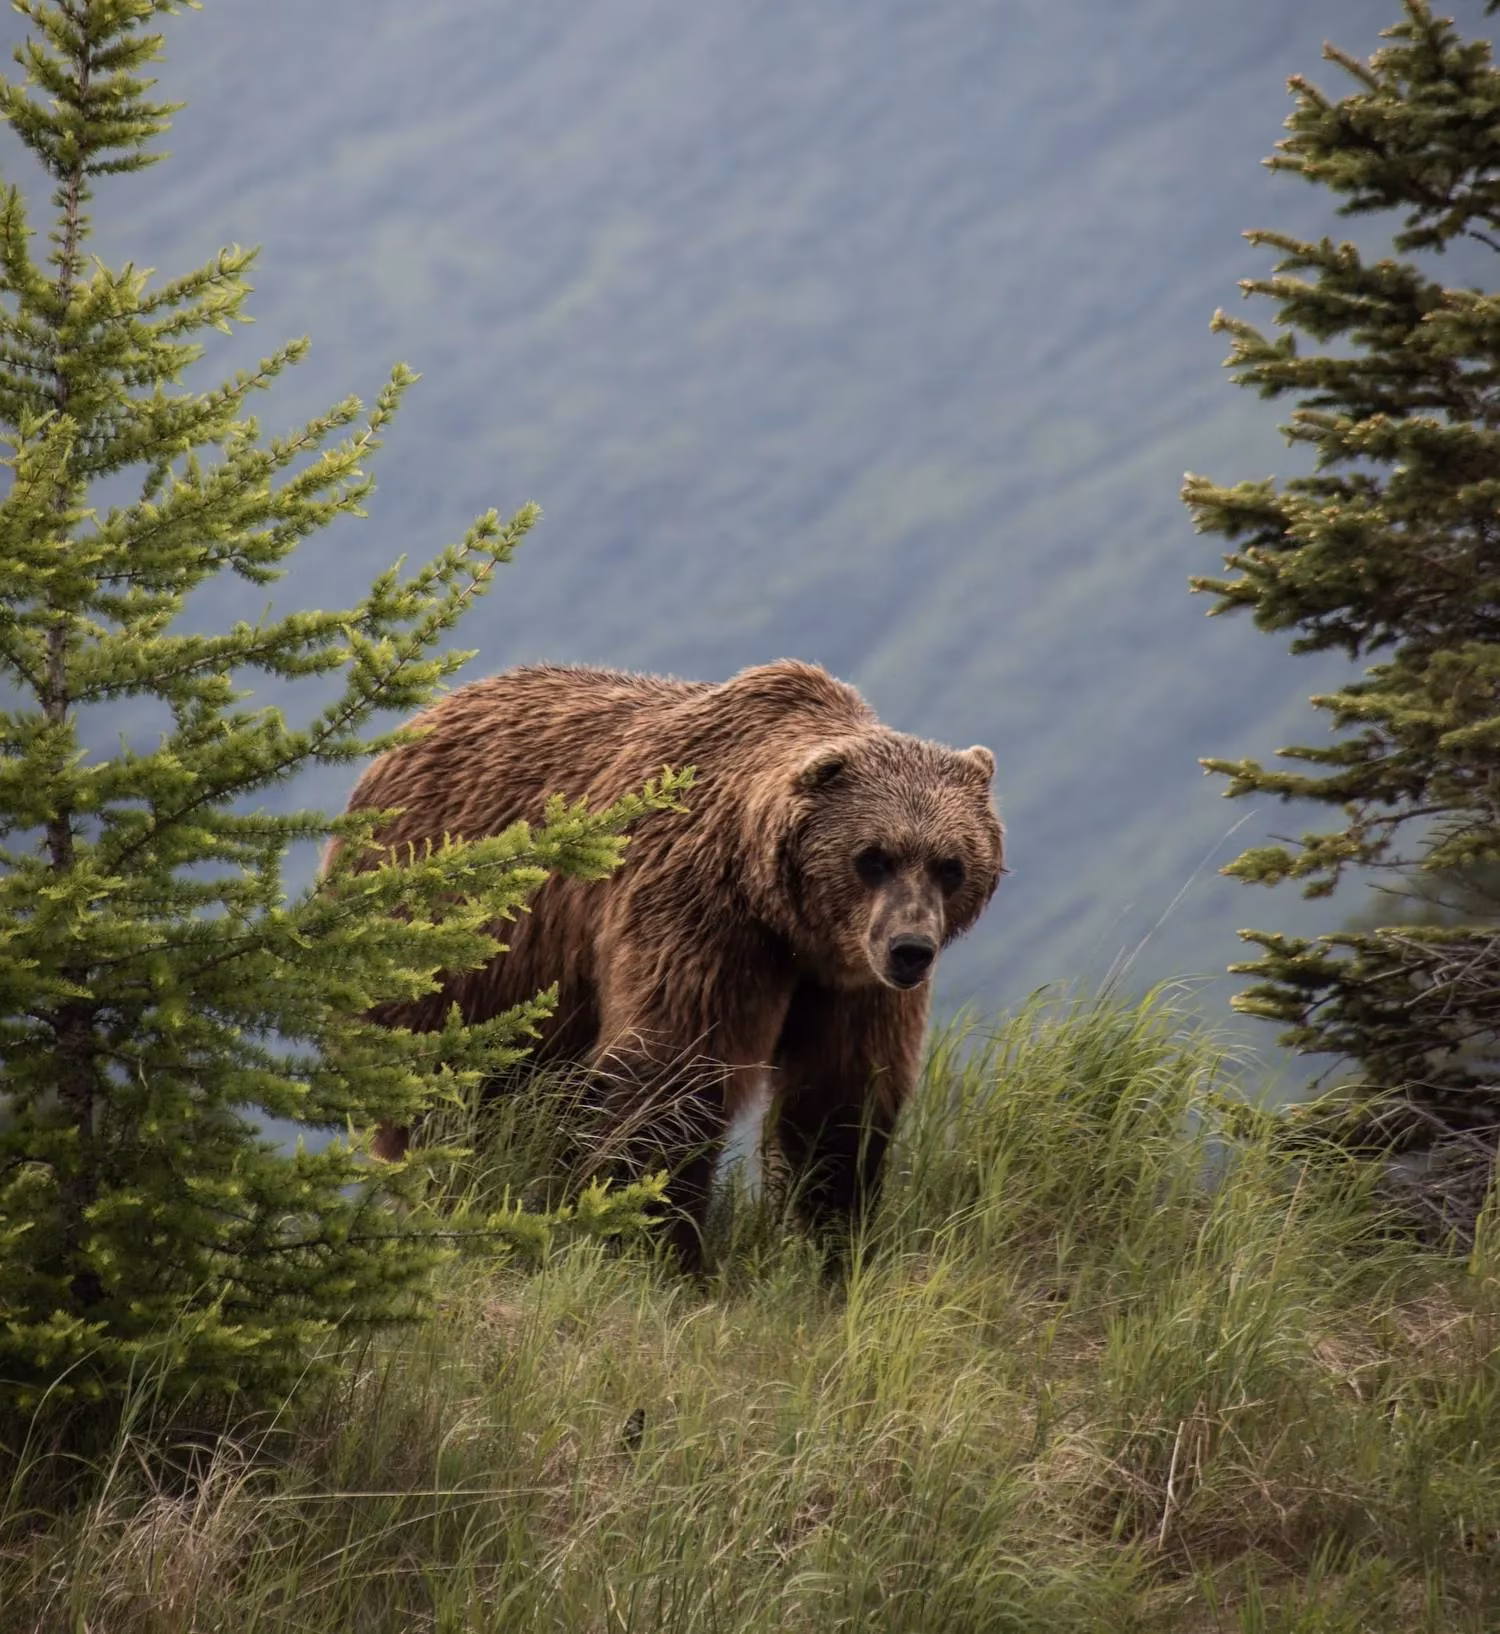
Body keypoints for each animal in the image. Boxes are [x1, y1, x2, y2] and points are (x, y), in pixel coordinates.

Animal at [332, 658, 1005, 1265]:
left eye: (951, 865)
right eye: (873, 857)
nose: (910, 949)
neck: (785, 919)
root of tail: (415, 725)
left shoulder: (849, 983)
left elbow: (839, 1100)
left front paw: (830, 1246)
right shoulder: (700, 917)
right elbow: (671, 1075)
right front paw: (660, 1247)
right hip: (453, 946)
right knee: (447, 1092)